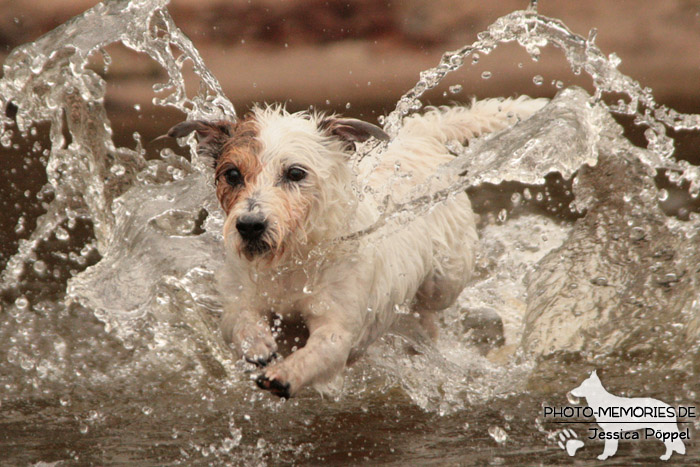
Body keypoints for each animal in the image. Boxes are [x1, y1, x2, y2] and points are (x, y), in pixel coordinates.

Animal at [168, 97, 548, 396]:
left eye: (295, 173)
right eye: (232, 174)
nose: (249, 226)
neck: (296, 260)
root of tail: (419, 137)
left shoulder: (338, 328)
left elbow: (320, 352)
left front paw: (286, 373)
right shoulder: (240, 298)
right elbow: (240, 320)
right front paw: (258, 344)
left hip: (446, 279)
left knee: (430, 308)